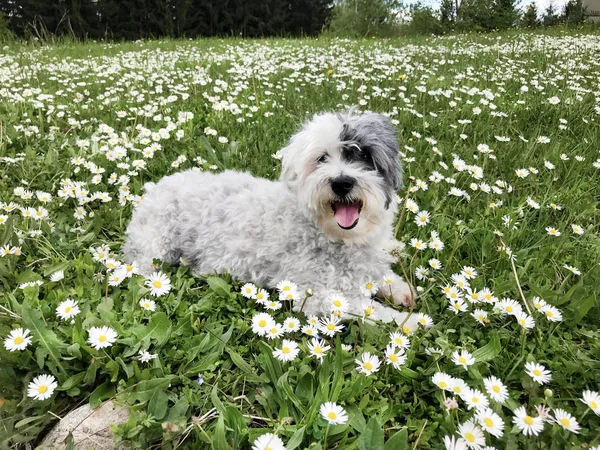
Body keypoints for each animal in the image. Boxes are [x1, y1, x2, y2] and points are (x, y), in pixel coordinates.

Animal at [123, 110, 418, 326]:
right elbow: (369, 310)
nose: (341, 183)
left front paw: (401, 290)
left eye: (365, 155)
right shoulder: (315, 294)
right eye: (322, 158)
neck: (336, 236)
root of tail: (155, 187)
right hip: (153, 248)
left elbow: (383, 275)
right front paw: (410, 322)